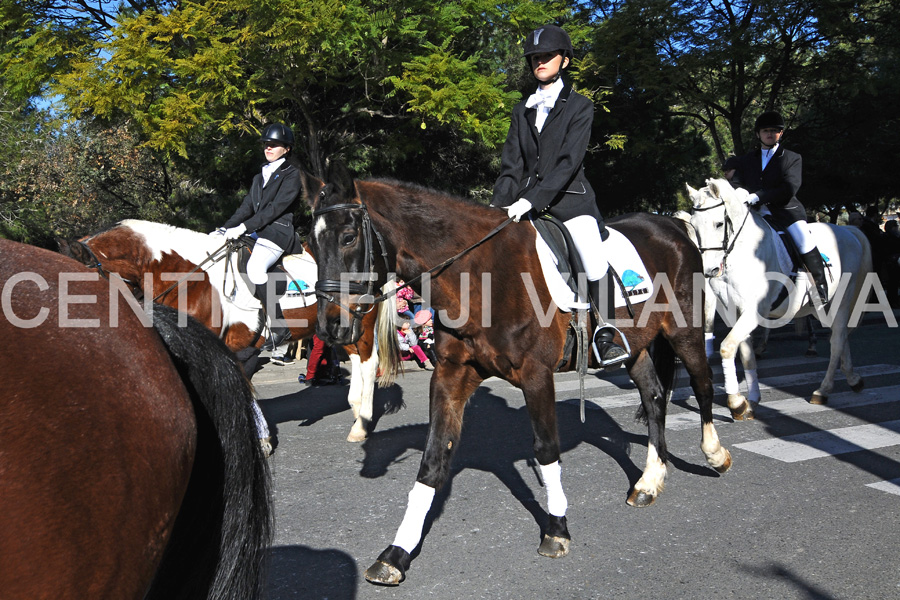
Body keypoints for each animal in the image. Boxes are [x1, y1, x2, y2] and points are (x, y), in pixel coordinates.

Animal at [306, 168, 736, 584]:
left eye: (348, 237)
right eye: (310, 244)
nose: (330, 328)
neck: (478, 275)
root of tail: (673, 226)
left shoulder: (536, 375)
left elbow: (546, 450)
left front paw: (557, 530)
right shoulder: (451, 375)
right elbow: (432, 460)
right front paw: (396, 553)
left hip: (685, 331)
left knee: (702, 385)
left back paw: (715, 454)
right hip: (637, 345)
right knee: (654, 396)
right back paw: (649, 482)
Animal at [688, 178, 872, 412]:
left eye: (719, 224)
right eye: (693, 225)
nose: (709, 270)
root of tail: (848, 231)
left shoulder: (754, 310)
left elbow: (728, 347)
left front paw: (736, 402)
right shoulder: (734, 311)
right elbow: (746, 354)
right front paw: (751, 400)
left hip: (842, 299)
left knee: (838, 339)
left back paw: (822, 390)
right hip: (824, 307)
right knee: (841, 336)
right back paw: (853, 379)